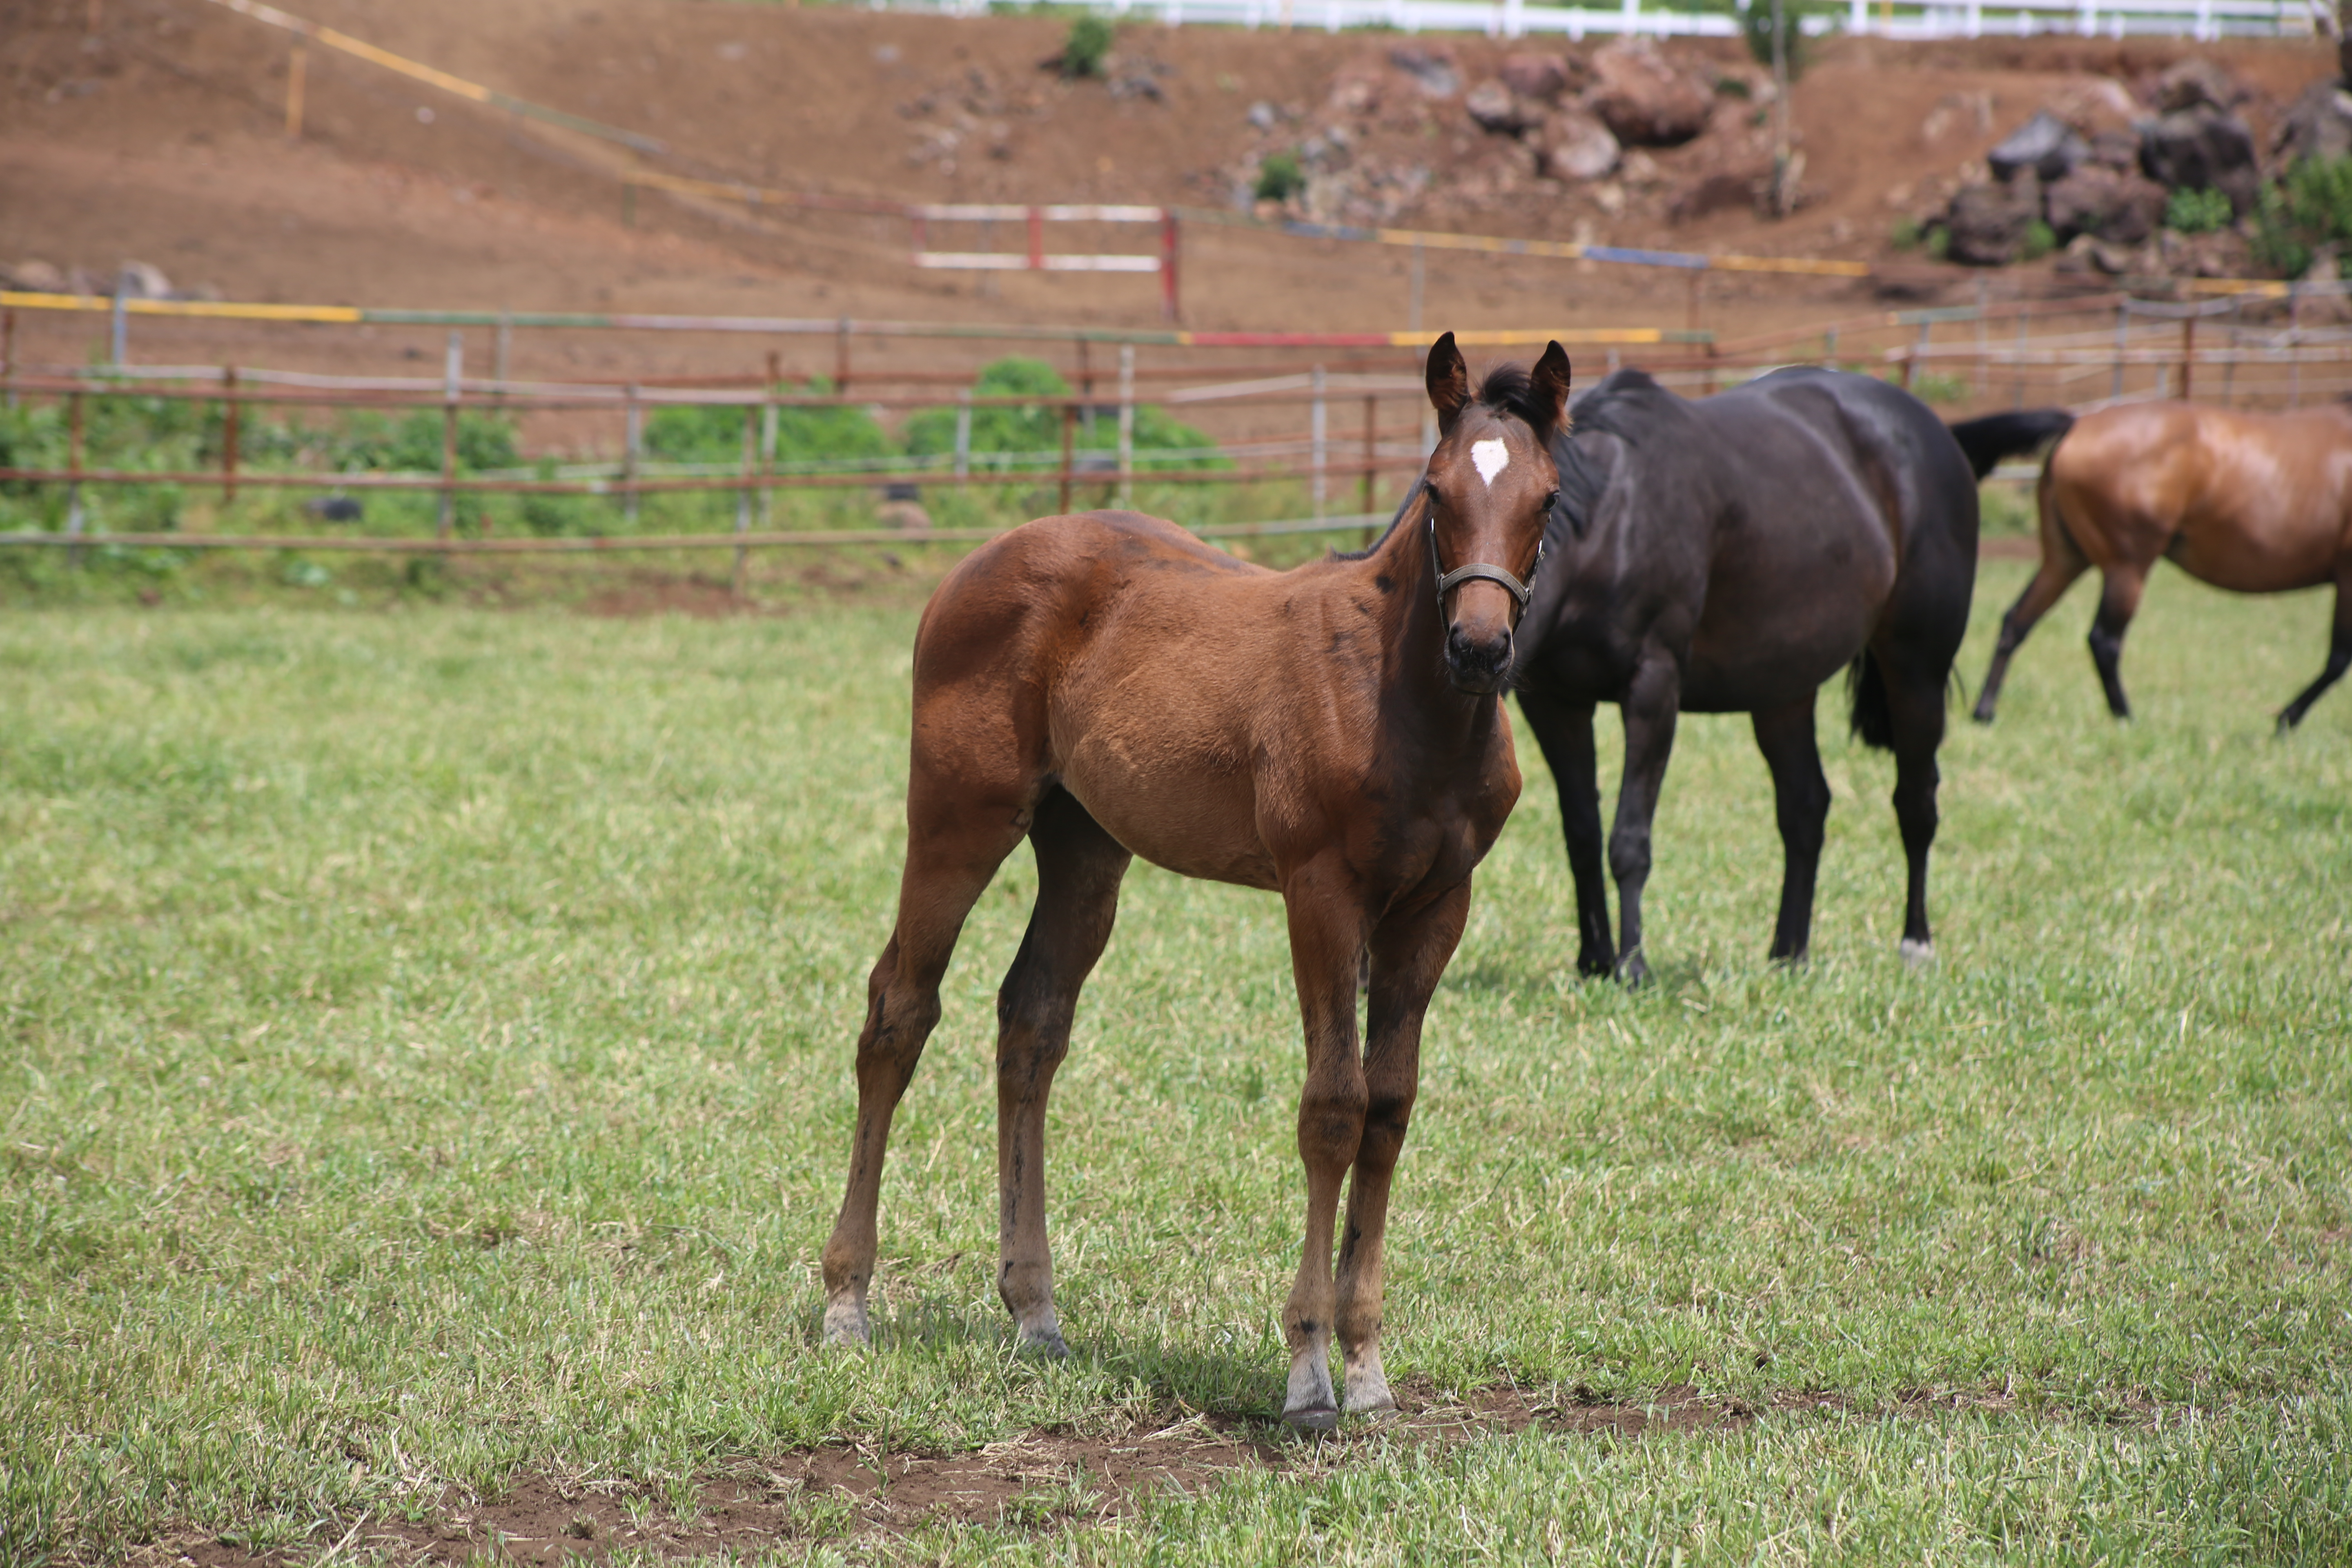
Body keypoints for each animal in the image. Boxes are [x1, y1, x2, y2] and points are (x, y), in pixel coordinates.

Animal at [818, 334, 1571, 1439]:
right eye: (1435, 490)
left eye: (1547, 497)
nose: (1479, 647)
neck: (1400, 697)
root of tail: (973, 564)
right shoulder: (1320, 893)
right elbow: (1333, 1108)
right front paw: (1308, 1373)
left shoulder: (1437, 908)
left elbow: (1389, 1109)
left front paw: (1369, 1366)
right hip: (960, 818)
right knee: (898, 1012)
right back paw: (848, 1298)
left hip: (1085, 847)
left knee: (1030, 1025)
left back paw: (1034, 1310)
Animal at [1496, 369, 1976, 982]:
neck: (1607, 519)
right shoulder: (1555, 703)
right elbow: (1581, 832)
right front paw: (1595, 959)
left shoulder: (1653, 686)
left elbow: (1629, 838)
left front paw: (1633, 967)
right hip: (1783, 690)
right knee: (1805, 808)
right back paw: (1788, 952)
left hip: (1916, 671)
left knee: (1916, 803)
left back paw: (1914, 943)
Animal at [1957, 402, 2352, 728]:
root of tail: (2078, 424)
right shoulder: (2347, 575)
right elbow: (2339, 658)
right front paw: (2287, 718)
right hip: (2127, 566)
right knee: (2104, 641)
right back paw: (2126, 718)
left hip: (2065, 559)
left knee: (2017, 622)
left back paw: (1985, 711)